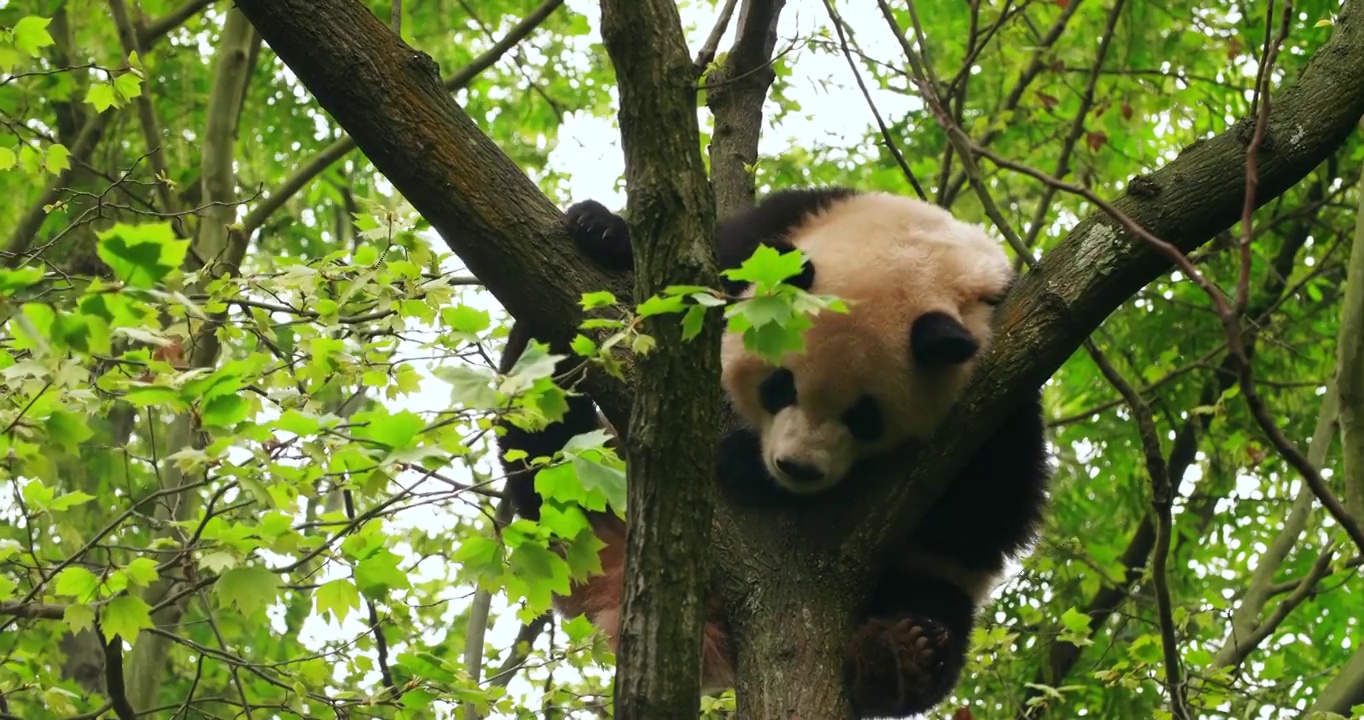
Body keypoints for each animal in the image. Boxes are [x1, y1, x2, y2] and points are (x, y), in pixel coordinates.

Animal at [496, 186, 1047, 720]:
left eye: (866, 417)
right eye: (779, 386)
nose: (795, 469)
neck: (912, 247)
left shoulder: (1003, 382)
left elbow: (983, 510)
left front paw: (746, 468)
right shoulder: (771, 230)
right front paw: (602, 228)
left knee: (934, 598)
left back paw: (901, 658)